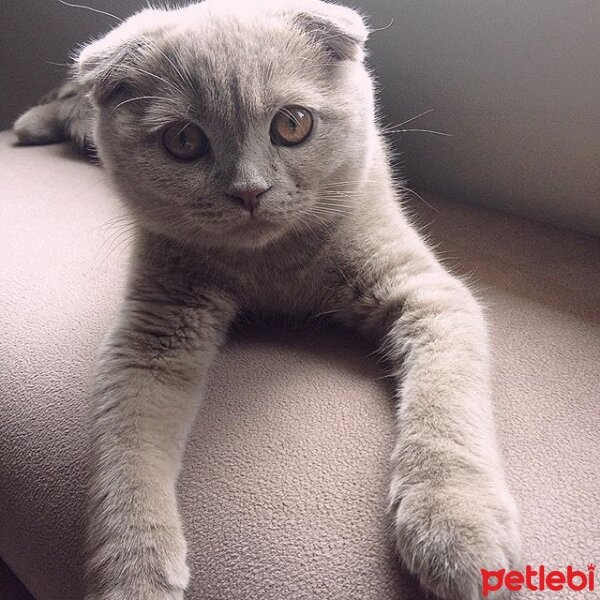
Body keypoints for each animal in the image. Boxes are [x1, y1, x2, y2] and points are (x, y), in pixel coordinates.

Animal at [12, 1, 520, 600]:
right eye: (183, 140)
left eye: (292, 124)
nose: (249, 191)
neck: (272, 268)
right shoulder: (153, 333)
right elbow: (125, 451)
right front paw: (134, 574)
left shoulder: (426, 292)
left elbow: (446, 404)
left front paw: (455, 525)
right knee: (68, 99)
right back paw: (29, 124)